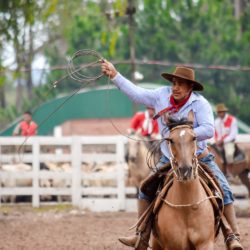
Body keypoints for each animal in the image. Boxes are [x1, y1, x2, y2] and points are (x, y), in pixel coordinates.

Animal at [152, 120, 217, 249]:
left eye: (194, 138)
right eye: (171, 140)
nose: (185, 170)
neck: (187, 207)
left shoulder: (205, 243)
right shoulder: (173, 245)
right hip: (156, 243)